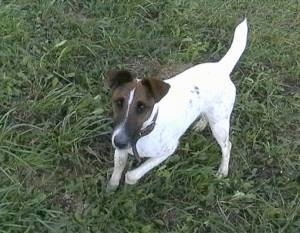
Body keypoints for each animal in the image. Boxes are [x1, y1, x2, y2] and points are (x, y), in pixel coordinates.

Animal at [106, 18, 247, 191]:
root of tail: (221, 67)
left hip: (220, 124)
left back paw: (223, 171)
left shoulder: (167, 151)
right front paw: (111, 188)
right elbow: (118, 167)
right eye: (118, 102)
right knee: (205, 116)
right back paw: (200, 124)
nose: (119, 142)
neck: (144, 133)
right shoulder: (120, 147)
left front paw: (127, 186)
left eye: (142, 107)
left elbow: (131, 175)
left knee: (227, 146)